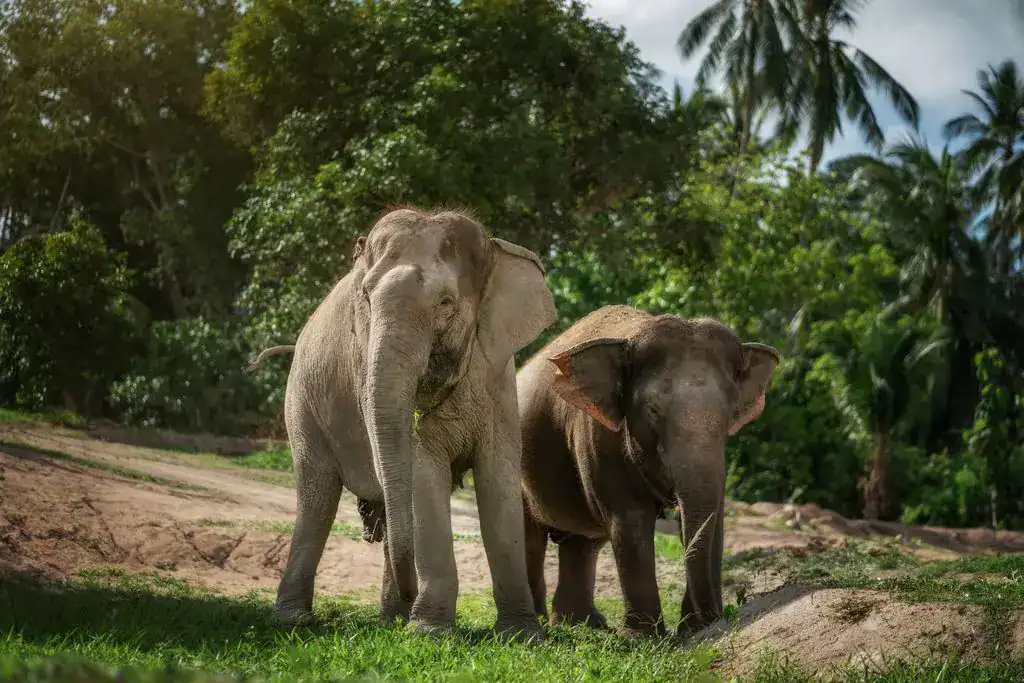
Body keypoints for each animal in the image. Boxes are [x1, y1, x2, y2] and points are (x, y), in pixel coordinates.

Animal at [248, 207, 557, 641]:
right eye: (365, 298)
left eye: (445, 302)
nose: (413, 594)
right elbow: (423, 474)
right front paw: (429, 632)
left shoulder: (498, 377)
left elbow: (498, 478)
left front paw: (521, 636)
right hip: (301, 406)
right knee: (317, 499)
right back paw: (297, 620)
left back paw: (390, 617)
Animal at [516, 304, 780, 638]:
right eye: (653, 411)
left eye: (730, 413)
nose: (712, 618)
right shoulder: (599, 436)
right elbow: (631, 519)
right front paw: (645, 637)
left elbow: (714, 519)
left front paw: (693, 630)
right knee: (531, 536)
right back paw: (543, 619)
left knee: (582, 542)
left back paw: (583, 624)